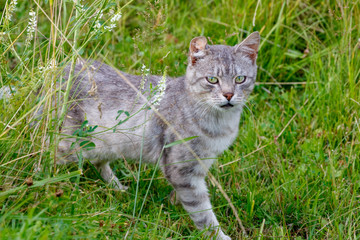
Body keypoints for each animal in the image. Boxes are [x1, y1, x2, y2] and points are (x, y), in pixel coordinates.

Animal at [59, 31, 262, 240]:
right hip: (71, 144)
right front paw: (217, 235)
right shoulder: (182, 170)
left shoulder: (200, 164)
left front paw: (173, 205)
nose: (228, 95)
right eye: (212, 79)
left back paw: (118, 187)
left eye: (240, 79)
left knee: (99, 162)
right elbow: (202, 211)